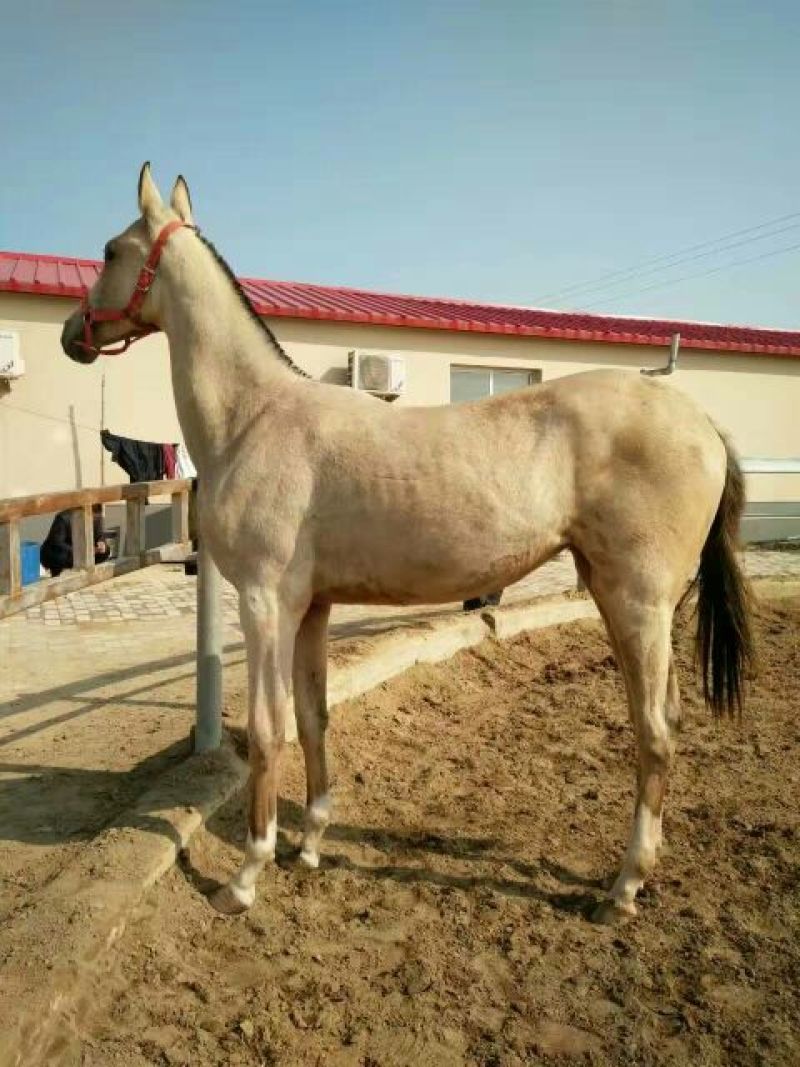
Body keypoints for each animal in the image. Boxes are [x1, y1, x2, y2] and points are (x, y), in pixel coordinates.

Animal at [61, 164, 752, 925]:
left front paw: (246, 875)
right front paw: (310, 842)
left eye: (110, 251)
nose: (71, 334)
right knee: (667, 720)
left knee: (654, 733)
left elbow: (268, 728)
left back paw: (623, 888)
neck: (256, 417)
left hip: (638, 603)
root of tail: (702, 422)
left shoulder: (265, 601)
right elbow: (313, 716)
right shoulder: (312, 608)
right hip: (628, 599)